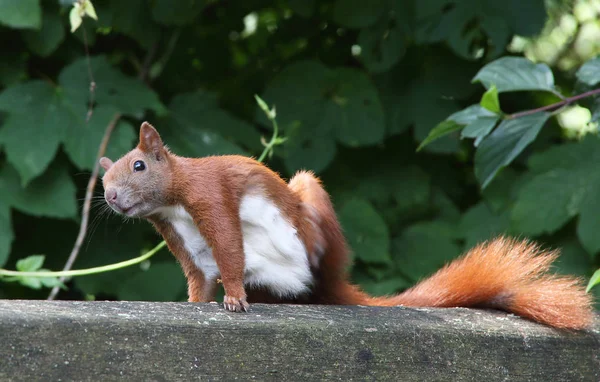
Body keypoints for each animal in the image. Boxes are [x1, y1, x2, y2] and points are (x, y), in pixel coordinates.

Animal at [101, 121, 592, 328]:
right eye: (104, 179)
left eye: (139, 165)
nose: (110, 197)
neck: (174, 205)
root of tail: (325, 285)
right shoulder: (181, 238)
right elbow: (200, 276)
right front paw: (196, 302)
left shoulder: (212, 197)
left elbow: (229, 247)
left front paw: (235, 299)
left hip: (309, 197)